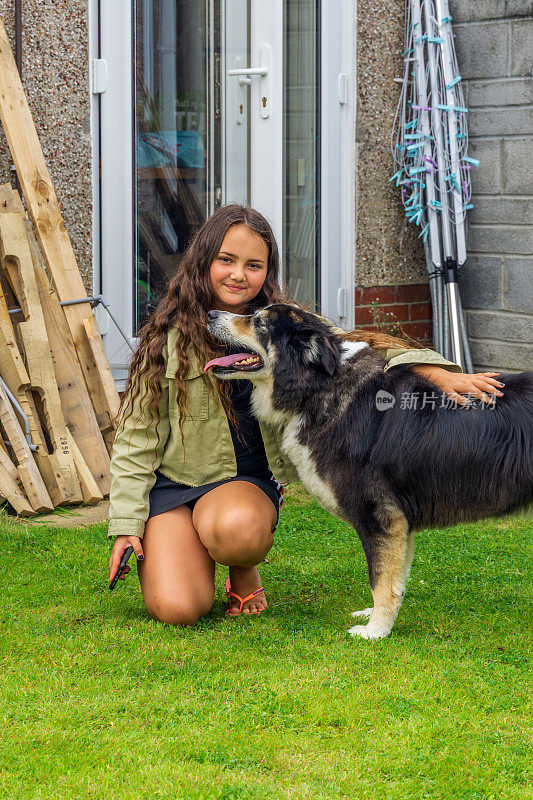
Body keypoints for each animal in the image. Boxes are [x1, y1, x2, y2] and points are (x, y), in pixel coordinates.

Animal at [206, 304, 532, 640]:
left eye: (259, 322)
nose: (210, 314)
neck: (321, 387)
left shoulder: (380, 515)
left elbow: (380, 579)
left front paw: (375, 630)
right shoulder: (399, 522)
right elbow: (395, 578)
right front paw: (377, 617)